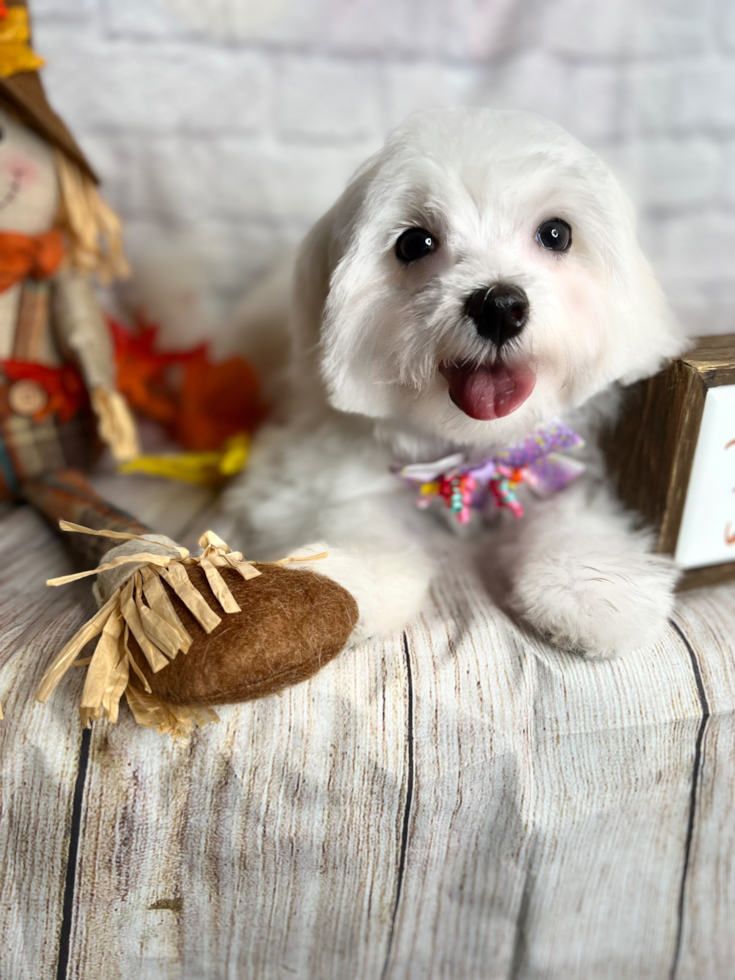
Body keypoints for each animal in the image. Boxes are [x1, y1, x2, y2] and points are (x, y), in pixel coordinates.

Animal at [224, 109, 688, 660]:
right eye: (414, 243)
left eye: (556, 234)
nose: (499, 306)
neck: (472, 451)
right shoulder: (303, 472)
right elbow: (361, 520)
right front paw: (348, 583)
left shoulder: (556, 465)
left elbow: (573, 517)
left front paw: (593, 585)